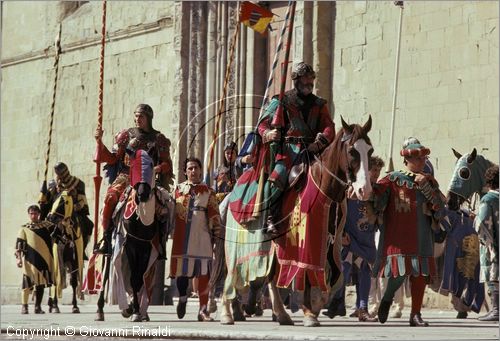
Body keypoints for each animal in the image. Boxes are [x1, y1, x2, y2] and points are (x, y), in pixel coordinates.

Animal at [222, 115, 372, 326]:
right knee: (232, 274)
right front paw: (309, 313)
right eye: (352, 151)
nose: (364, 190)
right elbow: (307, 273)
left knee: (270, 277)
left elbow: (334, 278)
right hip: (237, 246)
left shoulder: (330, 243)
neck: (324, 187)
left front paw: (315, 308)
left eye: (370, 151)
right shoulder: (306, 241)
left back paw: (279, 313)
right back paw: (228, 312)